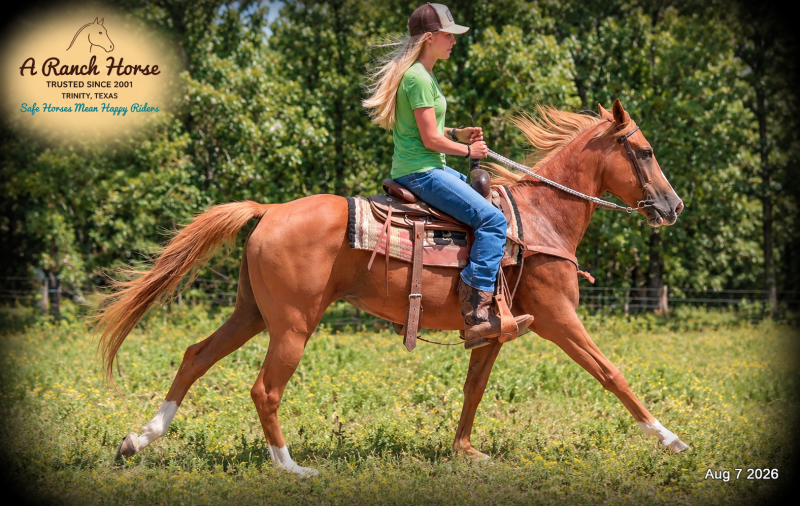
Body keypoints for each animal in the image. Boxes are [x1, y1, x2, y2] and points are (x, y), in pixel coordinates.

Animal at [97, 99, 687, 478]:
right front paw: (670, 439)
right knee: (265, 389)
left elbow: (473, 389)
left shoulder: (493, 330)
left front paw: (464, 451)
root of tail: (270, 210)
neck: (540, 218)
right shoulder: (559, 317)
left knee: (196, 356)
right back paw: (291, 468)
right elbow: (611, 373)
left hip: (251, 313)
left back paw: (137, 440)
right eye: (645, 151)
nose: (673, 206)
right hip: (292, 325)